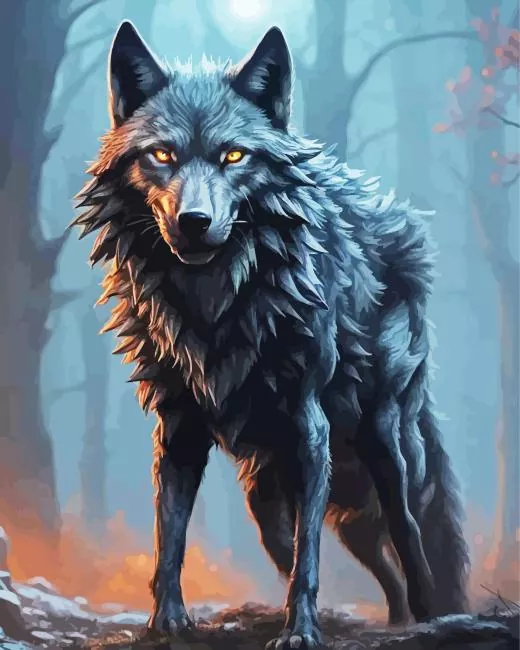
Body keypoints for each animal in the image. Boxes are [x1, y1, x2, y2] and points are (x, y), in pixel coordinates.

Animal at [73, 21, 470, 649]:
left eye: (234, 155)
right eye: (162, 155)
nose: (194, 223)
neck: (215, 303)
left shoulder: (311, 428)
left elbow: (310, 560)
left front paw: (300, 633)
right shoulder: (178, 429)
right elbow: (169, 541)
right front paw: (167, 623)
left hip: (379, 442)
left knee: (405, 530)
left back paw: (430, 616)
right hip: (270, 496)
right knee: (347, 554)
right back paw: (397, 618)